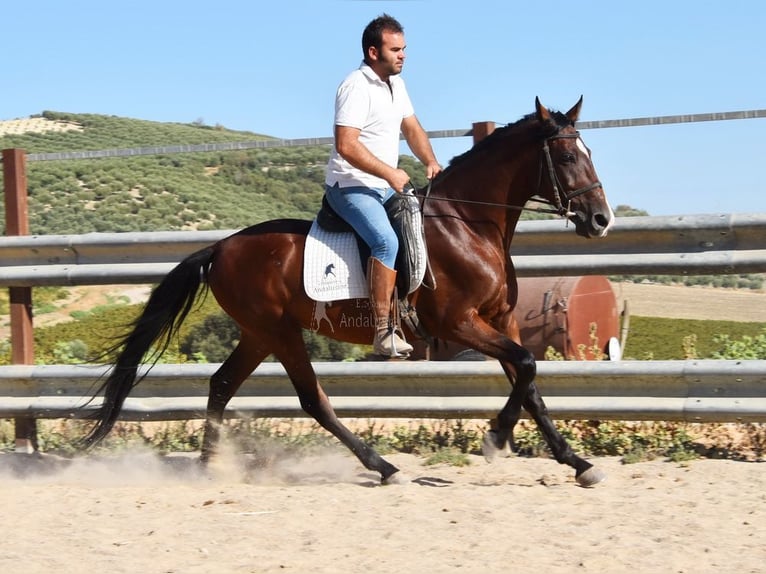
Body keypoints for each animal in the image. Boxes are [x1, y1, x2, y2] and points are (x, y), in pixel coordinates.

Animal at [81, 98, 616, 486]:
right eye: (568, 156)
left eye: (590, 153)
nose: (600, 220)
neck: (468, 224)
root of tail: (221, 247)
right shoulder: (460, 323)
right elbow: (525, 369)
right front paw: (496, 438)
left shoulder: (501, 320)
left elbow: (530, 385)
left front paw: (577, 463)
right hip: (278, 332)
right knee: (311, 400)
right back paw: (383, 467)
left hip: (258, 334)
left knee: (222, 385)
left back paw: (209, 467)